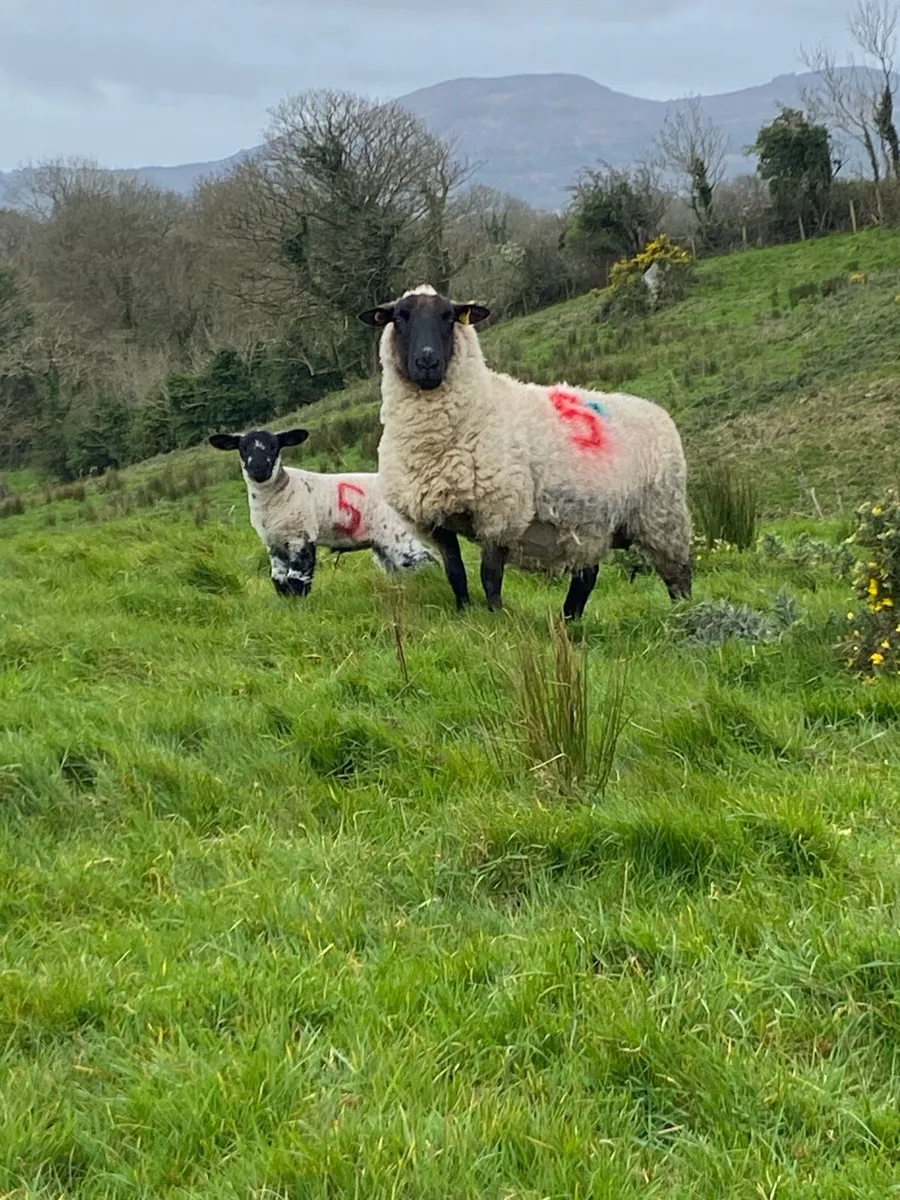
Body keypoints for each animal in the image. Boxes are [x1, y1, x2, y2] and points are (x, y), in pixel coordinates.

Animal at [208, 426, 434, 596]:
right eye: (242, 448)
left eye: (274, 446)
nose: (259, 469)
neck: (279, 493)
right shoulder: (274, 544)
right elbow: (279, 581)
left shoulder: (301, 536)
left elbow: (297, 579)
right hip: (382, 543)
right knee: (397, 570)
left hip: (397, 533)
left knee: (423, 560)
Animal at [357, 284, 692, 620]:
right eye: (400, 316)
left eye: (449, 316)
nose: (427, 362)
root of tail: (656, 410)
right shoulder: (435, 520)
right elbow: (455, 572)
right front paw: (464, 612)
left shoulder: (500, 510)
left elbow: (490, 575)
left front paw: (495, 616)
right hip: (590, 522)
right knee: (586, 576)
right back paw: (569, 620)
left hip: (662, 515)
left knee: (678, 574)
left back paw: (684, 614)